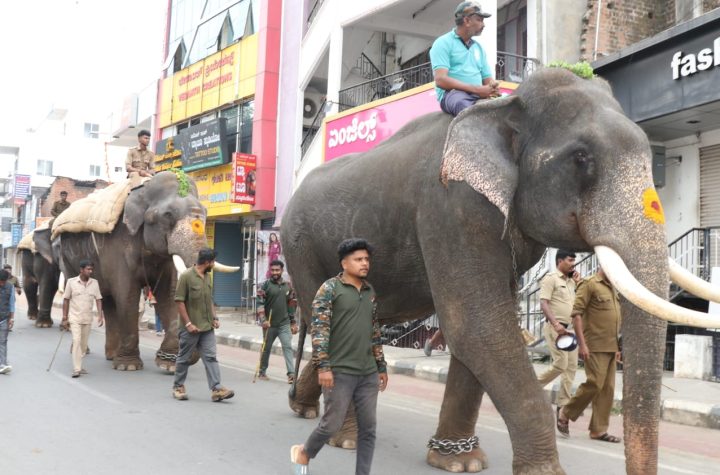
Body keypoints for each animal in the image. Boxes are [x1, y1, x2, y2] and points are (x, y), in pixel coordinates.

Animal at [42, 171, 236, 371]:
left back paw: (111, 355)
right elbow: (127, 294)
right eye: (168, 215)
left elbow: (169, 295)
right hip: (67, 259)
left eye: (206, 213)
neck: (143, 189)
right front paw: (128, 367)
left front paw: (168, 365)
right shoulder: (119, 242)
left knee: (108, 301)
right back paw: (83, 352)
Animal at [281, 68, 719, 474]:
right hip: (300, 248)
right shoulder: (452, 206)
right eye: (582, 158)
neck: (507, 107)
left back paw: (302, 408)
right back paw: (344, 439)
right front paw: (543, 471)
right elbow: (477, 325)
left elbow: (480, 331)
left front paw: (460, 461)